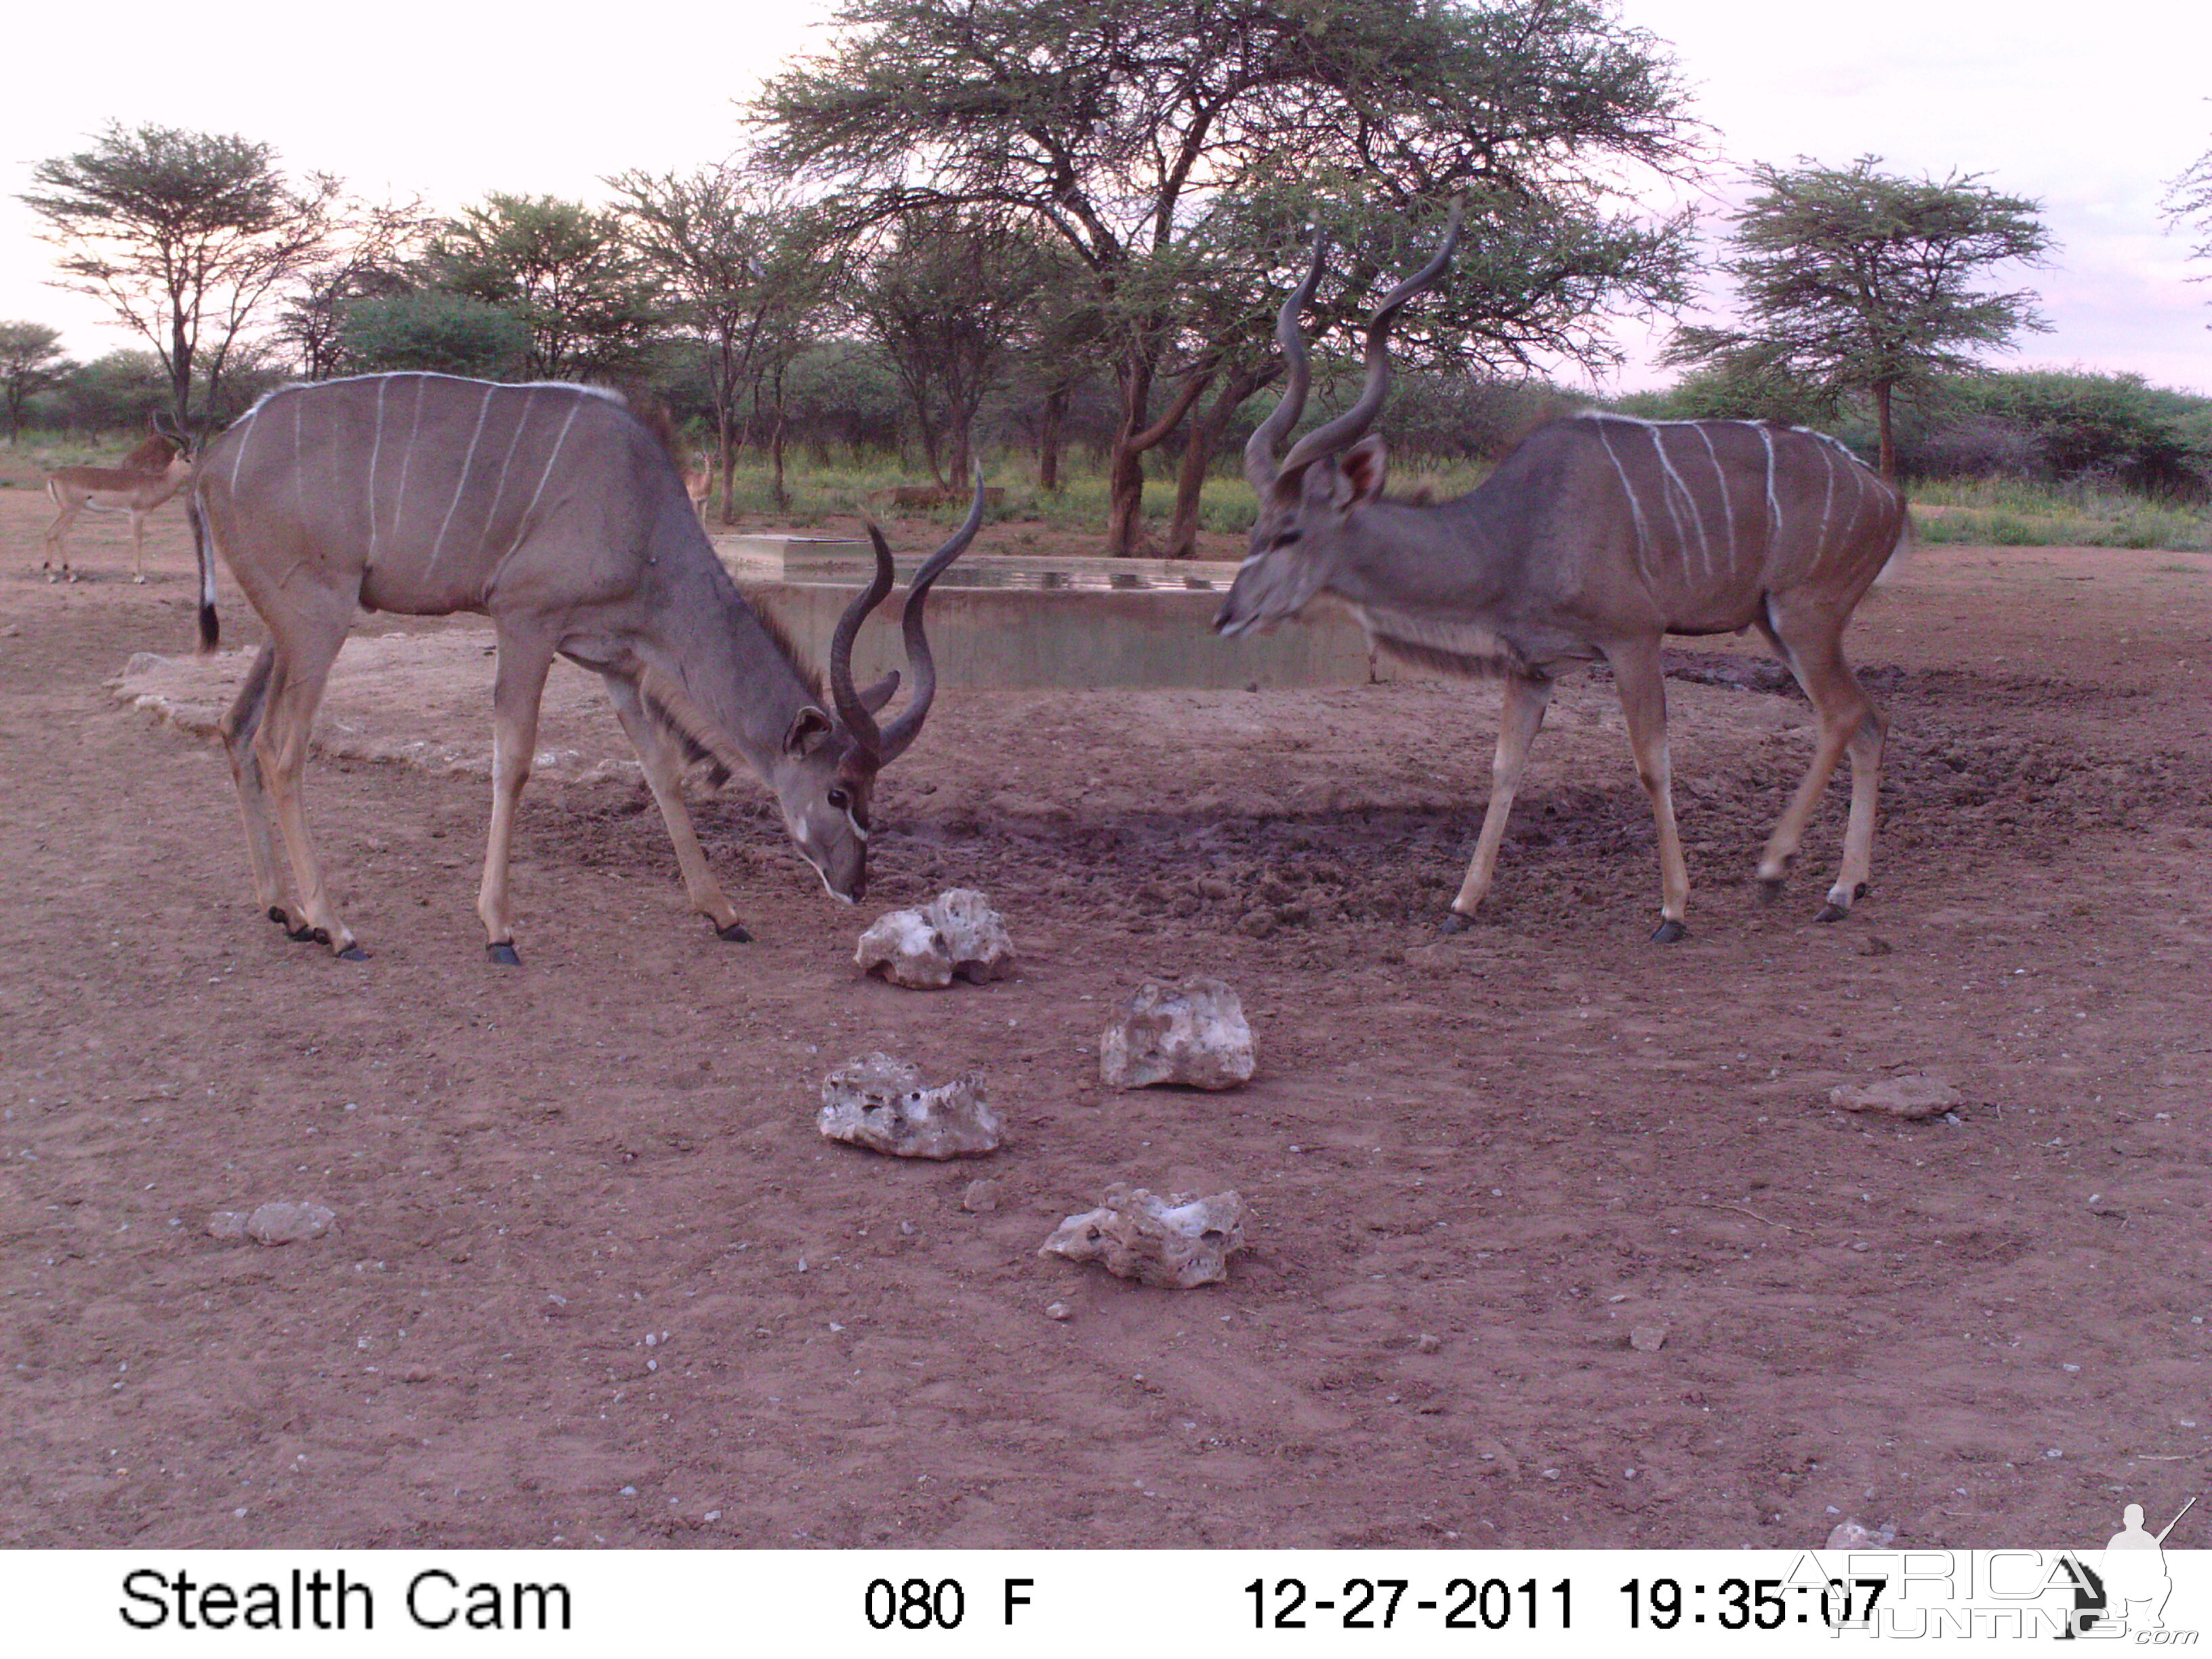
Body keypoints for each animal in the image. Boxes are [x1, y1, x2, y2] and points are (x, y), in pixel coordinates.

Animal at [186, 373, 982, 960]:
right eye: (840, 793)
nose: (855, 887)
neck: (643, 510)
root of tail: (213, 459)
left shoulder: (616, 663)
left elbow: (662, 772)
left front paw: (723, 912)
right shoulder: (524, 622)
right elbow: (513, 761)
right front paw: (498, 928)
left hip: (287, 631)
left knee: (235, 727)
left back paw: (283, 909)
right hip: (319, 622)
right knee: (280, 747)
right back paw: (335, 925)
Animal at [1221, 209, 1911, 942]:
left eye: (1291, 533)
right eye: (1256, 530)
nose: (1227, 614)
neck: (1511, 533)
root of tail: (1889, 497)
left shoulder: (1634, 640)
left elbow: (1652, 764)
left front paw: (1673, 910)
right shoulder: (1531, 666)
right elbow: (1504, 768)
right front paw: (1461, 906)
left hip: (1804, 615)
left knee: (1843, 713)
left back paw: (1779, 869)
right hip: (1774, 624)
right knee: (1870, 718)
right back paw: (1846, 888)